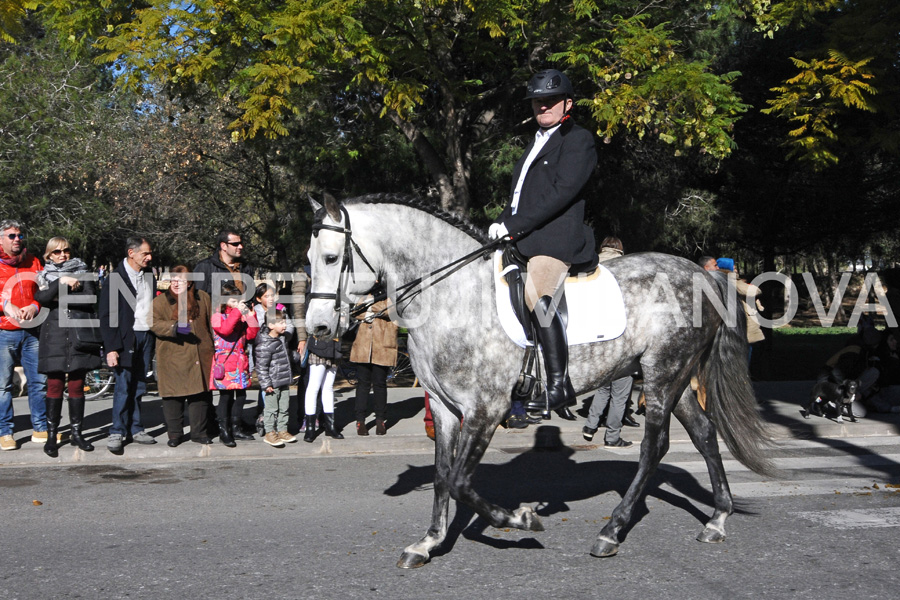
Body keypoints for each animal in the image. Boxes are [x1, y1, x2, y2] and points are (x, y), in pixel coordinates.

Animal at [306, 193, 768, 568]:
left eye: (330, 258)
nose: (318, 328)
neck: (453, 296)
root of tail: (702, 275)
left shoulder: (485, 408)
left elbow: (459, 481)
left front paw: (520, 519)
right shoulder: (443, 407)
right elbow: (441, 475)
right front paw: (429, 542)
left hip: (662, 376)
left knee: (654, 448)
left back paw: (611, 531)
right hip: (675, 379)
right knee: (704, 433)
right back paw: (717, 519)